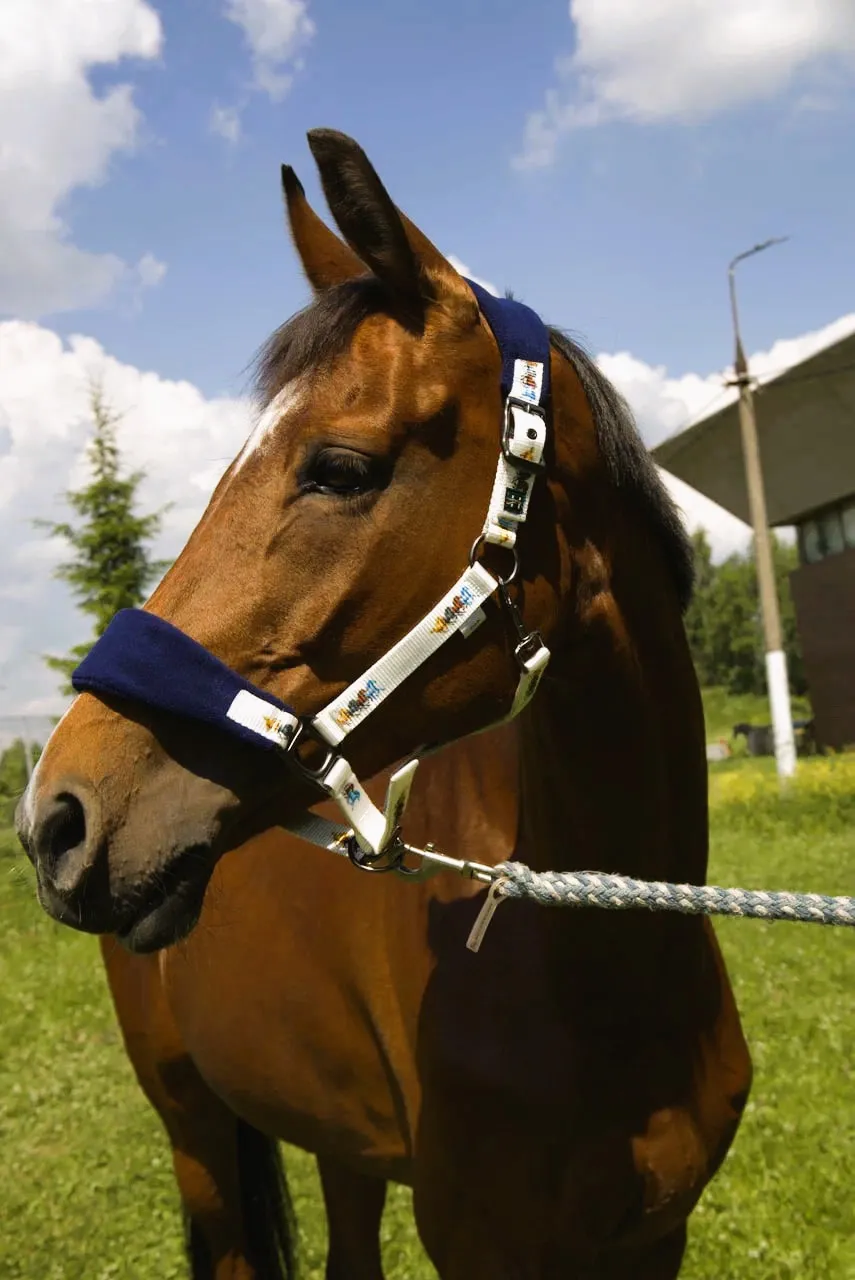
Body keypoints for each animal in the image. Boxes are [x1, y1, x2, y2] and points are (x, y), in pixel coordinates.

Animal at [17, 128, 751, 1279]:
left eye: (341, 468)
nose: (54, 817)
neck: (609, 972)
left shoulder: (654, 1240)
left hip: (336, 1139)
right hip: (193, 1132)